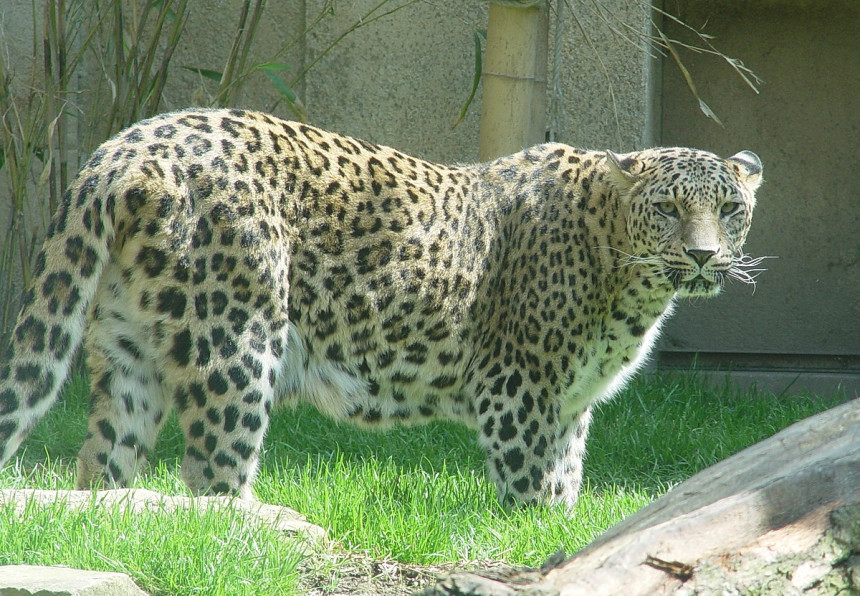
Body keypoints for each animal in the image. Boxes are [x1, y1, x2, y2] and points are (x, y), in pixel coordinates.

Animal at [0, 107, 764, 508]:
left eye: (730, 208)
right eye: (668, 209)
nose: (704, 256)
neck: (631, 281)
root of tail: (124, 148)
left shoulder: (571, 404)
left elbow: (565, 487)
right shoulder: (517, 391)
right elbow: (529, 490)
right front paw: (534, 536)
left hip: (130, 350)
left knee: (102, 468)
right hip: (237, 344)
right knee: (211, 478)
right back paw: (247, 533)